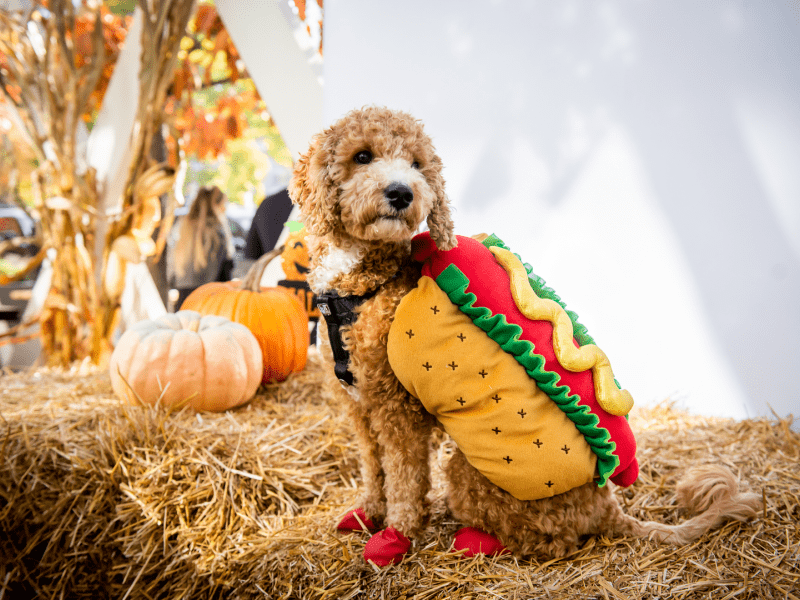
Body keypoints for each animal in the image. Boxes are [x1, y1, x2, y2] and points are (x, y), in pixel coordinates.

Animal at [290, 106, 764, 568]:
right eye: (362, 156)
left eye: (417, 164)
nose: (402, 192)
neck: (362, 283)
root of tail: (606, 505)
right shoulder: (359, 406)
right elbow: (374, 467)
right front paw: (369, 513)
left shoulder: (398, 412)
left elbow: (405, 479)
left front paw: (396, 536)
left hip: (471, 476)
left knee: (552, 543)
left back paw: (475, 542)